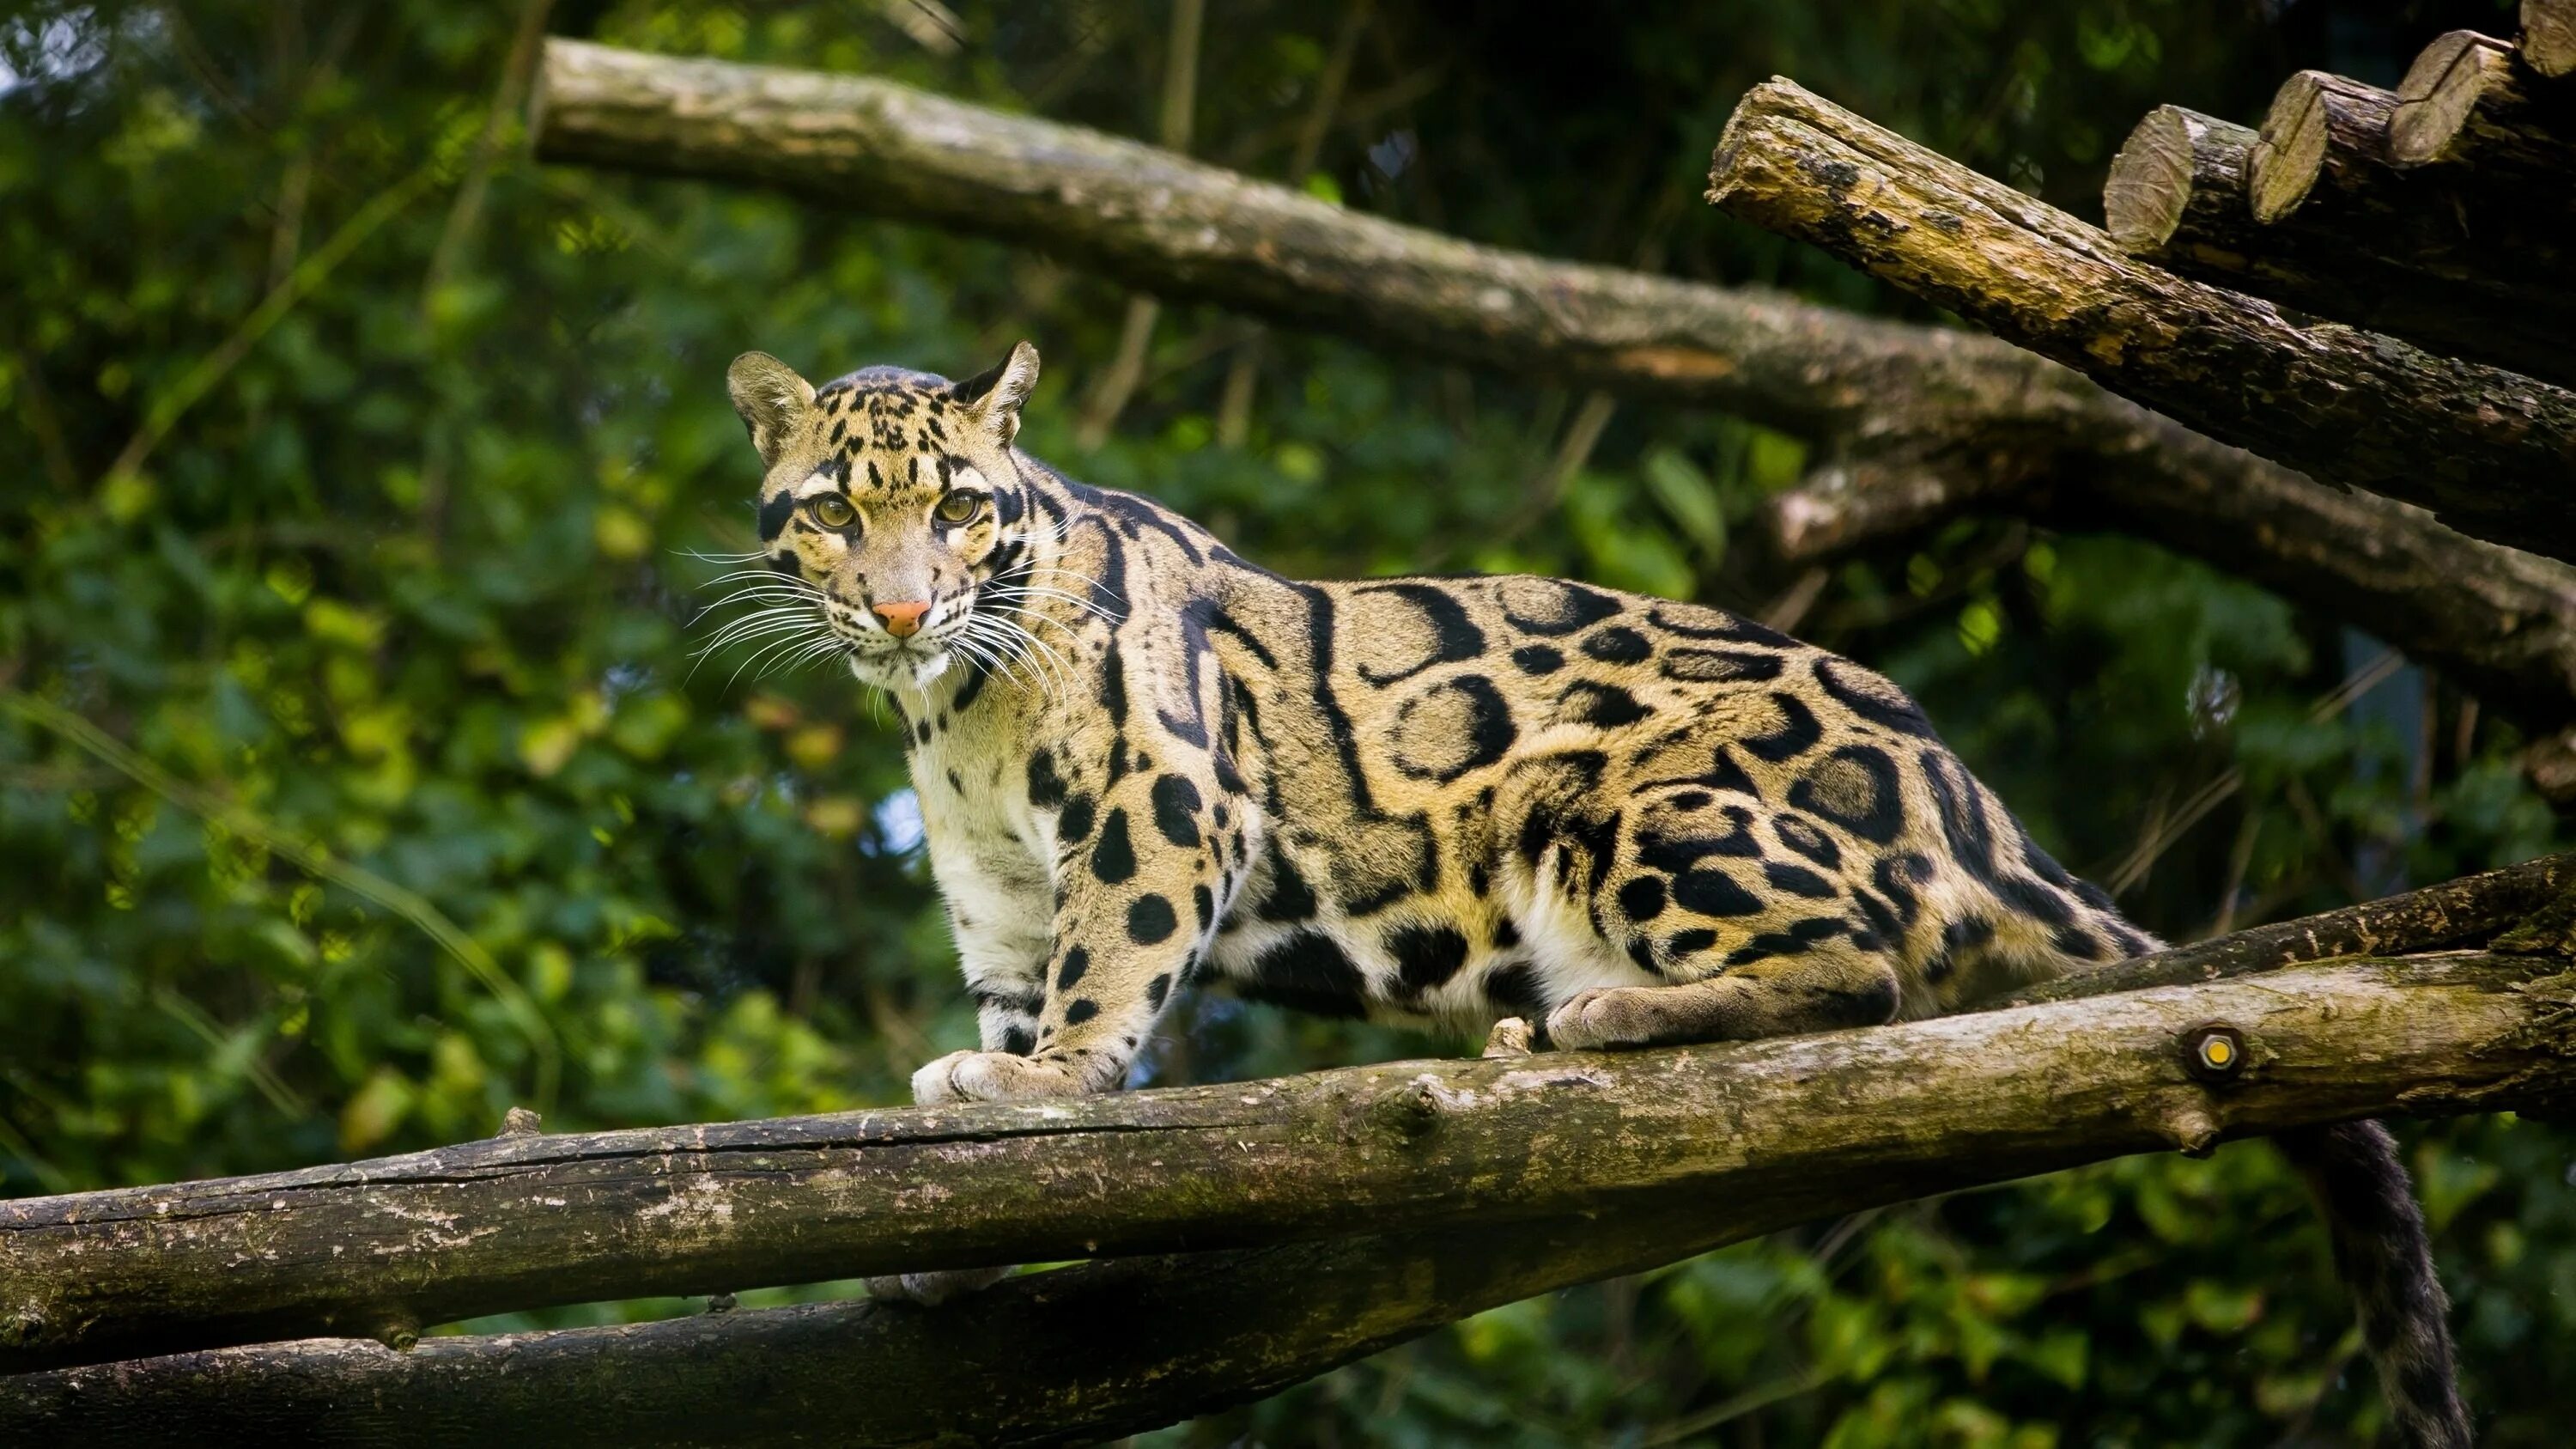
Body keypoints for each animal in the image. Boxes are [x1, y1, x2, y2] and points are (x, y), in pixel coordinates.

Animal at [716, 340, 2463, 1443]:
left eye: (958, 508)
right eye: (837, 509)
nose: (901, 606)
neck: (952, 707)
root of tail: (1974, 801)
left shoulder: (1163, 797)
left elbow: (1105, 979)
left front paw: (1053, 1085)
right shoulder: (998, 892)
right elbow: (1006, 1080)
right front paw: (959, 1206)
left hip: (1630, 804)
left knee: (1865, 970)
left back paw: (1600, 1020)